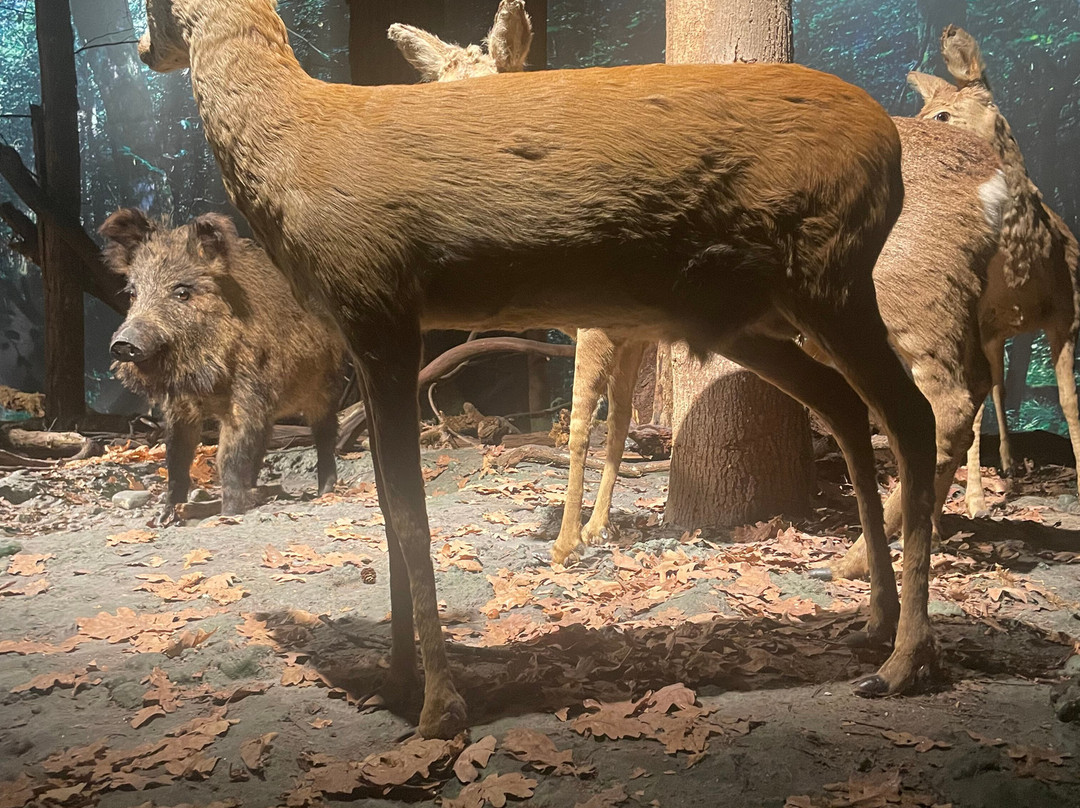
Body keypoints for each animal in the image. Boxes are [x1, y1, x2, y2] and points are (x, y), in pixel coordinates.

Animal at [141, 0, 937, 738]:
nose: (147, 51)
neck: (301, 147)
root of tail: (889, 145)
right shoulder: (364, 340)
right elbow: (389, 514)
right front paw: (395, 673)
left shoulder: (382, 312)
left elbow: (412, 515)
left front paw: (439, 706)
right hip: (759, 315)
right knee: (844, 404)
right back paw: (875, 619)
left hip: (831, 275)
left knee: (912, 413)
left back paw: (904, 661)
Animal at [390, 1, 1010, 587]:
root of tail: (995, 183)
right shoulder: (632, 327)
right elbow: (620, 421)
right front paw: (596, 529)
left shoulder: (598, 321)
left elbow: (580, 423)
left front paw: (566, 544)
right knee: (964, 388)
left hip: (906, 292)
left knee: (943, 402)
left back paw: (859, 559)